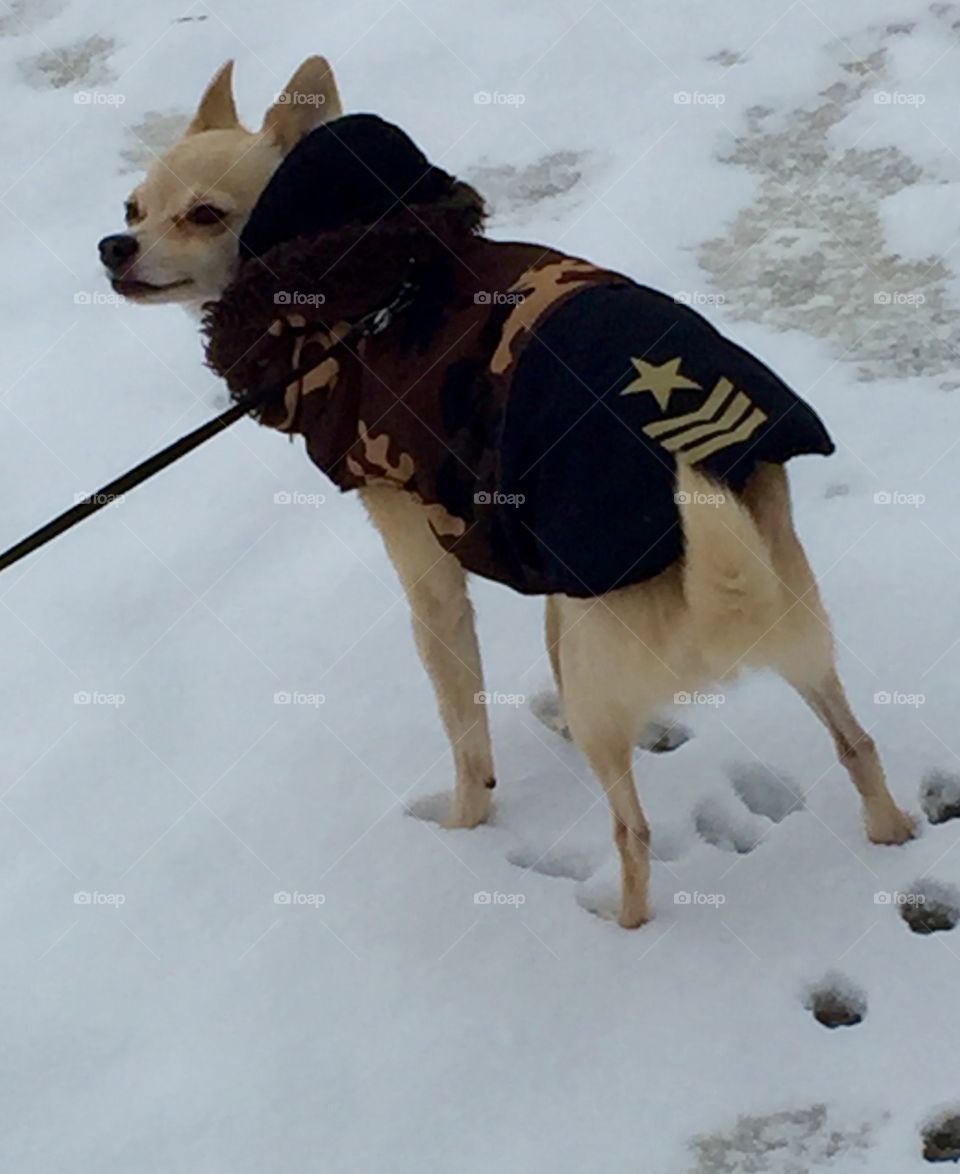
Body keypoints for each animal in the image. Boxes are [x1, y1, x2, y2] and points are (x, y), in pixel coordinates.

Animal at [100, 61, 910, 925]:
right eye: (132, 208)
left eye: (204, 215)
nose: (114, 247)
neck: (372, 281)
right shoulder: (548, 565)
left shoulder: (427, 573)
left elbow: (464, 728)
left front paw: (463, 826)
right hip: (792, 633)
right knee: (856, 742)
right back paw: (889, 832)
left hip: (614, 688)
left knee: (634, 832)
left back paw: (622, 925)